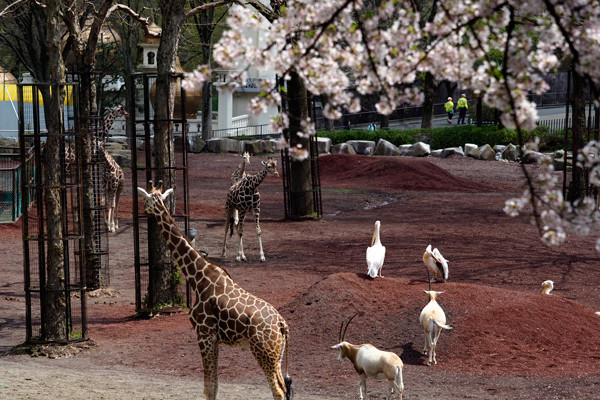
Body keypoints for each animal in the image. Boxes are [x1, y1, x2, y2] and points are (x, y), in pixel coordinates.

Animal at [96, 104, 130, 233]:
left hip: (119, 187)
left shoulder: (113, 185)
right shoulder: (105, 184)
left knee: (116, 202)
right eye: (120, 109)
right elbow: (103, 203)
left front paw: (110, 225)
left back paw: (115, 224)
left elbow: (111, 204)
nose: (127, 114)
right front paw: (107, 224)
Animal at [137, 184, 296, 400]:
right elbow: (215, 385)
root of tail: (282, 324)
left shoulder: (204, 334)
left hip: (263, 352)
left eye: (145, 200)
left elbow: (209, 387)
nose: (143, 211)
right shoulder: (215, 339)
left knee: (278, 391)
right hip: (277, 355)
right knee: (285, 389)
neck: (198, 278)